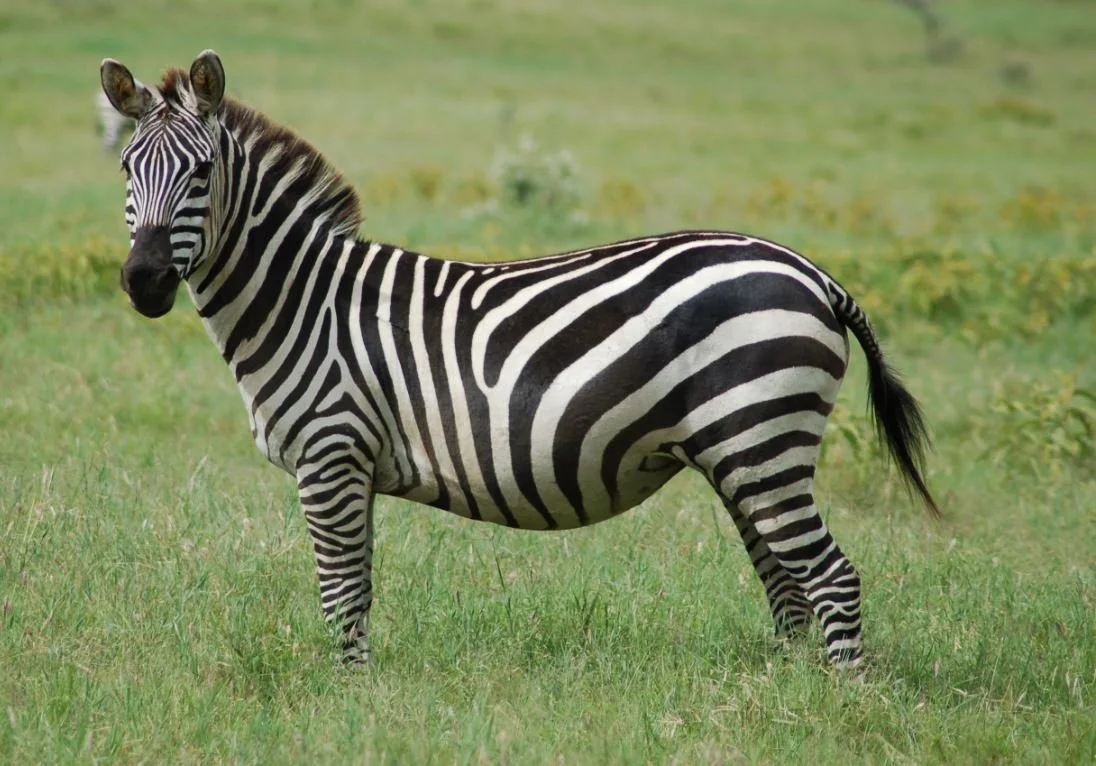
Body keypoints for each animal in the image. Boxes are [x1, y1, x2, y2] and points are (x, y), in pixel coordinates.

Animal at [100, 50, 939, 670]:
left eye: (201, 174)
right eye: (127, 171)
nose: (144, 282)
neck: (305, 301)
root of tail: (813, 272)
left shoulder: (330, 455)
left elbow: (341, 596)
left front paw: (348, 701)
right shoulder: (353, 465)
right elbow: (358, 590)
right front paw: (361, 693)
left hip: (760, 436)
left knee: (830, 576)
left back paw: (841, 701)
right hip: (743, 449)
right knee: (786, 579)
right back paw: (787, 689)